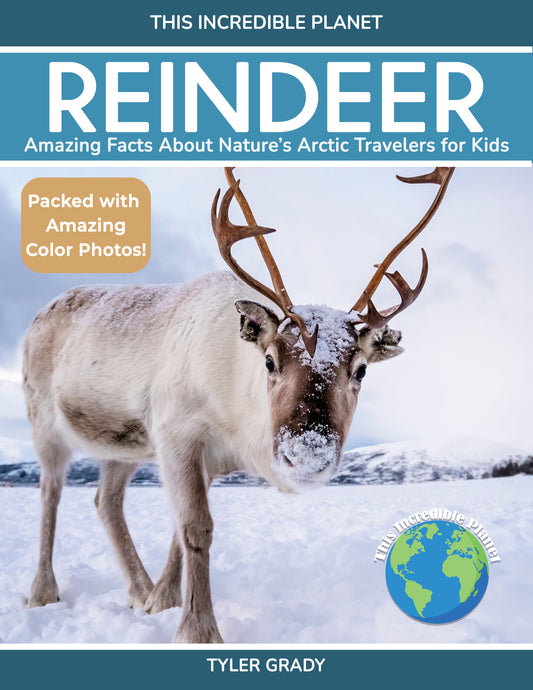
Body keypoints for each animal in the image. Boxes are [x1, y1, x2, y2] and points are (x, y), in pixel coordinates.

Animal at [23, 167, 454, 643]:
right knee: (50, 493)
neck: (236, 421)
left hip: (122, 445)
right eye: (270, 360)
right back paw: (42, 591)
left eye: (360, 369)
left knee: (106, 501)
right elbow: (196, 528)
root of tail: (39, 314)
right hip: (44, 422)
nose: (308, 455)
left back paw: (139, 589)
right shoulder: (176, 435)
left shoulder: (207, 460)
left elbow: (179, 532)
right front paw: (197, 629)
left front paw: (163, 601)